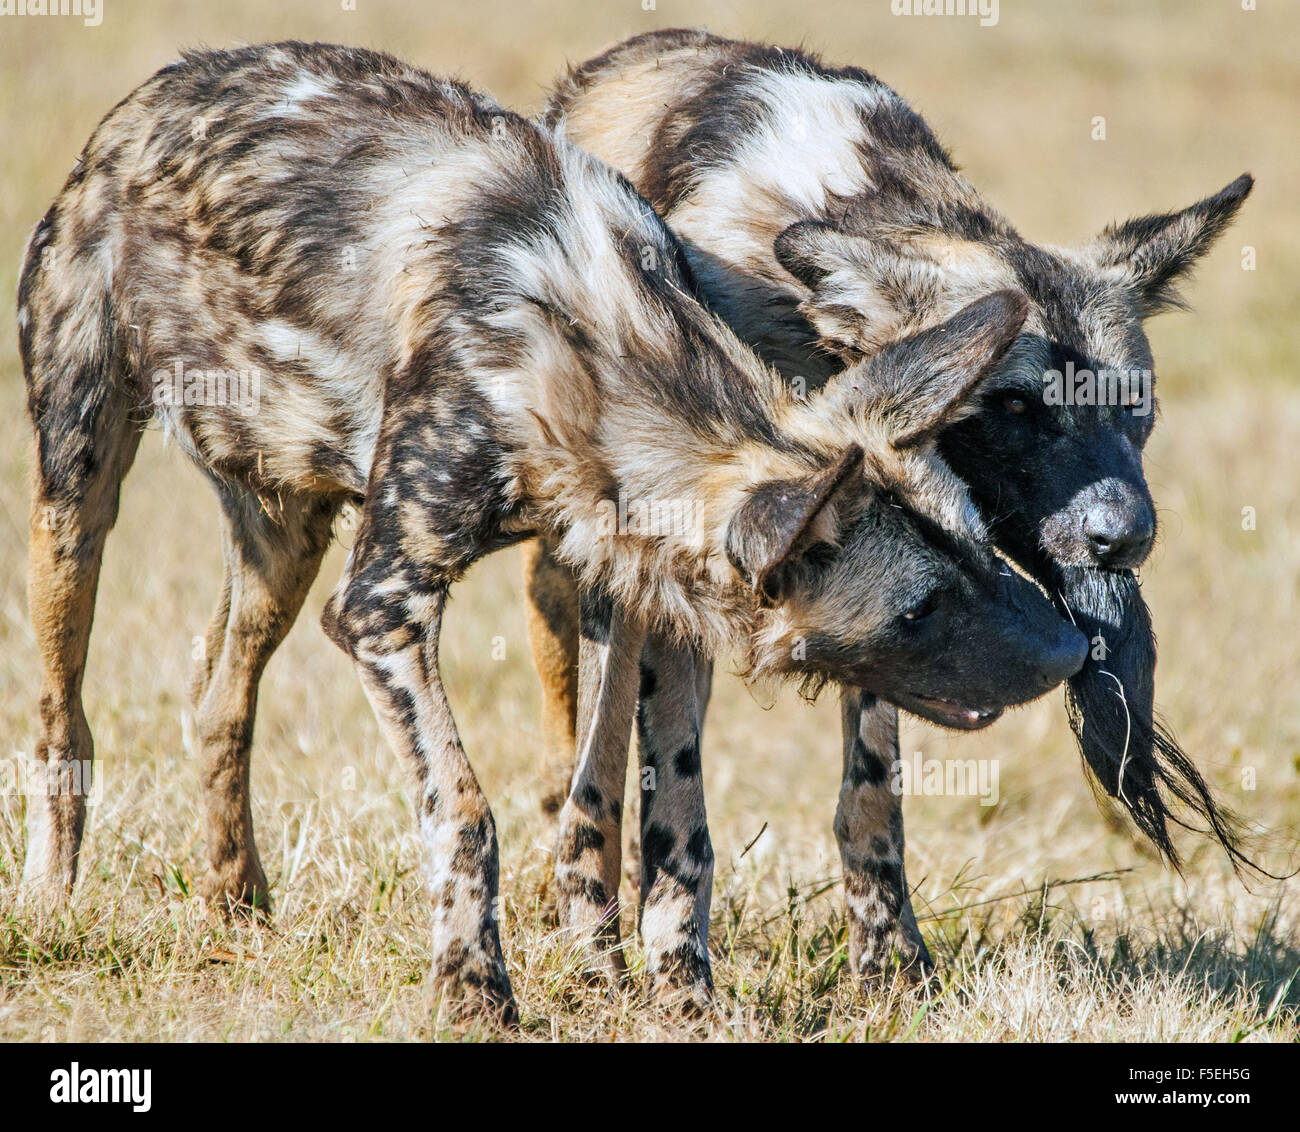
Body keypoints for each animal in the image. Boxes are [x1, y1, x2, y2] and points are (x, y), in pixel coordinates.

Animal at [17, 41, 1086, 1018]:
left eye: (981, 546)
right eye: (920, 609)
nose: (1073, 650)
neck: (589, 351)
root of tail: (160, 88)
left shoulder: (645, 597)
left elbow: (648, 816)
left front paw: (661, 990)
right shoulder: (381, 611)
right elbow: (466, 811)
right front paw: (475, 992)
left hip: (286, 540)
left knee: (216, 698)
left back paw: (235, 905)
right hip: (78, 494)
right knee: (62, 717)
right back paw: (49, 903)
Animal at [533, 24, 1253, 982]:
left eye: (1135, 405)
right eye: (1012, 406)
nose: (1124, 536)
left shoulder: (890, 593)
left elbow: (872, 795)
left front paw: (890, 963)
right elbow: (667, 794)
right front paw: (671, 967)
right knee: (588, 752)